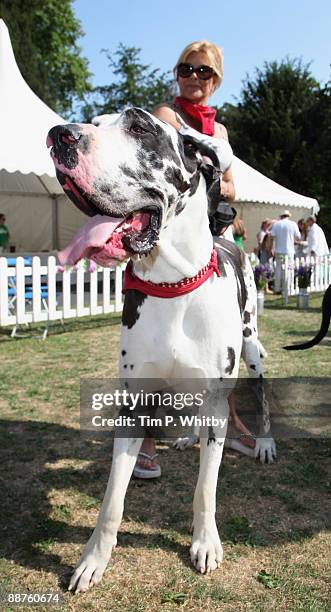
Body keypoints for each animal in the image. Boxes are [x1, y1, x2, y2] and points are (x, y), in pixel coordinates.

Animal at [46, 109, 274, 592]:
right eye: (95, 120)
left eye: (139, 128)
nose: (59, 136)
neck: (172, 284)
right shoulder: (132, 405)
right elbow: (112, 500)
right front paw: (92, 560)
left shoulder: (215, 401)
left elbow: (205, 489)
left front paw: (205, 543)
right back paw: (187, 436)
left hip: (251, 348)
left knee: (260, 393)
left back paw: (263, 442)